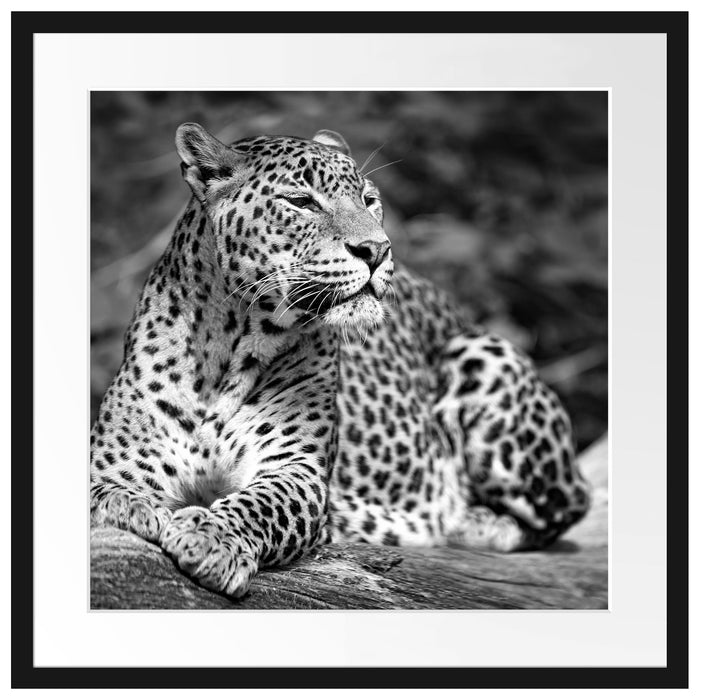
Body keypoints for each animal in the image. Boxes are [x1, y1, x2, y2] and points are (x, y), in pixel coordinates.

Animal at [90, 122, 591, 599]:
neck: (228, 347)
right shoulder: (115, 459)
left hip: (484, 354)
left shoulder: (298, 471)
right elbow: (105, 490)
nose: (378, 249)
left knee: (569, 506)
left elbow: (259, 505)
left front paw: (210, 537)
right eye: (301, 202)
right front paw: (129, 506)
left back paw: (471, 521)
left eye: (369, 200)